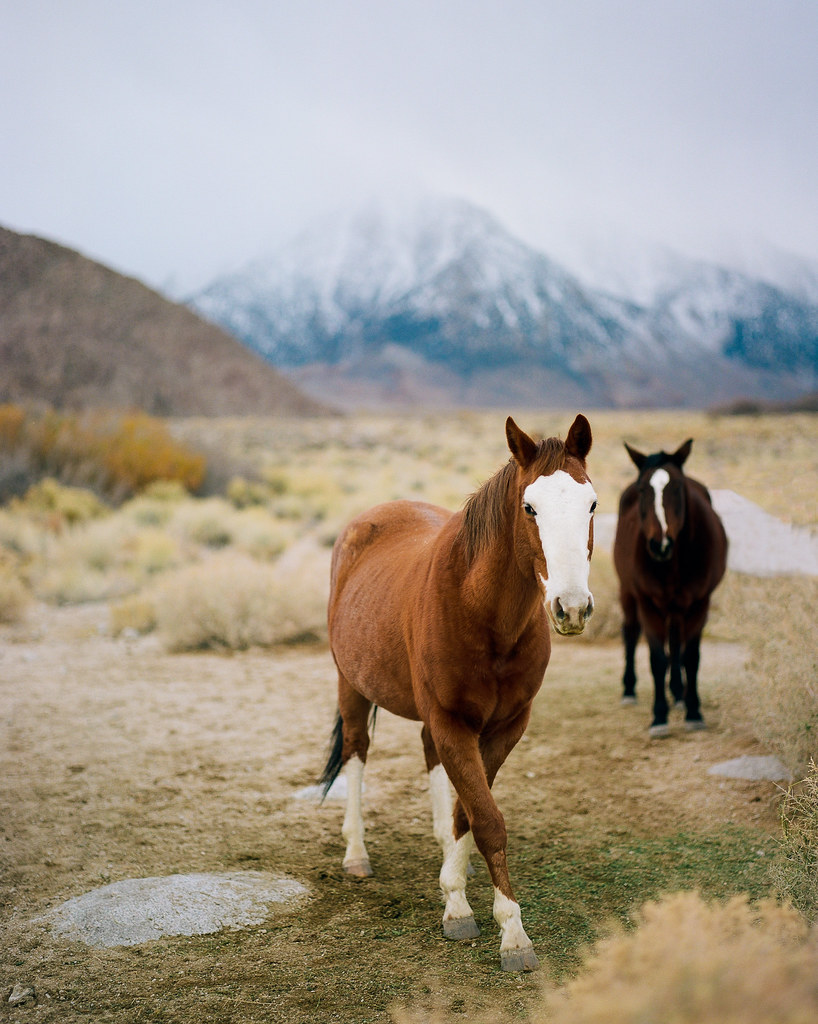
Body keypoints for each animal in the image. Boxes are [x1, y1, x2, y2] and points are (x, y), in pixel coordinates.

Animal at [319, 415, 596, 972]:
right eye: (530, 507)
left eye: (593, 504)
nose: (572, 607)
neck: (482, 611)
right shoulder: (453, 721)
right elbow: (487, 819)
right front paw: (509, 933)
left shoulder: (505, 726)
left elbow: (470, 809)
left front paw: (457, 889)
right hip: (351, 684)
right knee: (357, 752)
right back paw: (356, 853)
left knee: (431, 763)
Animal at [613, 439, 728, 738]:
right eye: (643, 489)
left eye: (677, 487)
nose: (659, 544)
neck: (673, 560)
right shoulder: (648, 604)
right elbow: (657, 659)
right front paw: (659, 718)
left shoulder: (700, 603)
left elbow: (690, 657)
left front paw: (693, 711)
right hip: (628, 593)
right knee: (631, 633)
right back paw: (629, 690)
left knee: (676, 642)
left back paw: (678, 693)